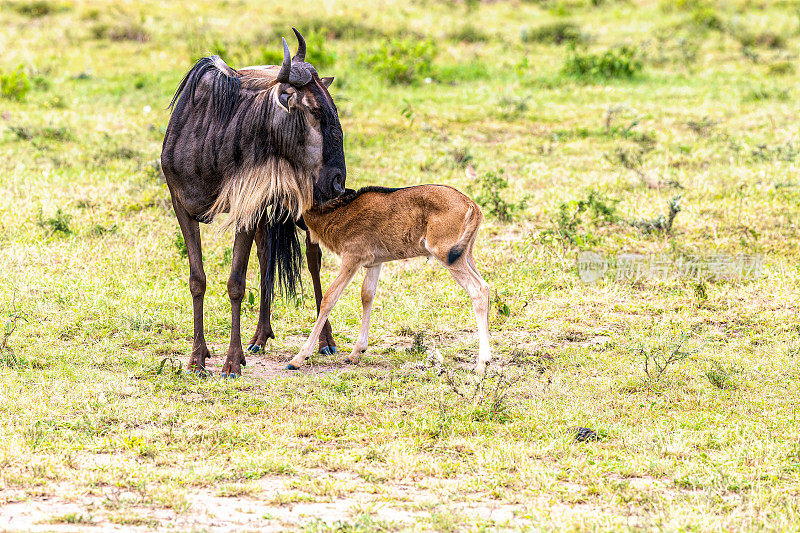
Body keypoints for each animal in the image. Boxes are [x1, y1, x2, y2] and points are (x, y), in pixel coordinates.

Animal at [284, 185, 490, 372]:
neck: (341, 211)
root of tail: (471, 205)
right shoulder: (375, 263)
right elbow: (367, 295)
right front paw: (356, 353)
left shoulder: (352, 258)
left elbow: (329, 298)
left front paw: (299, 358)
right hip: (466, 255)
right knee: (486, 287)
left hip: (447, 256)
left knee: (477, 290)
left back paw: (482, 364)